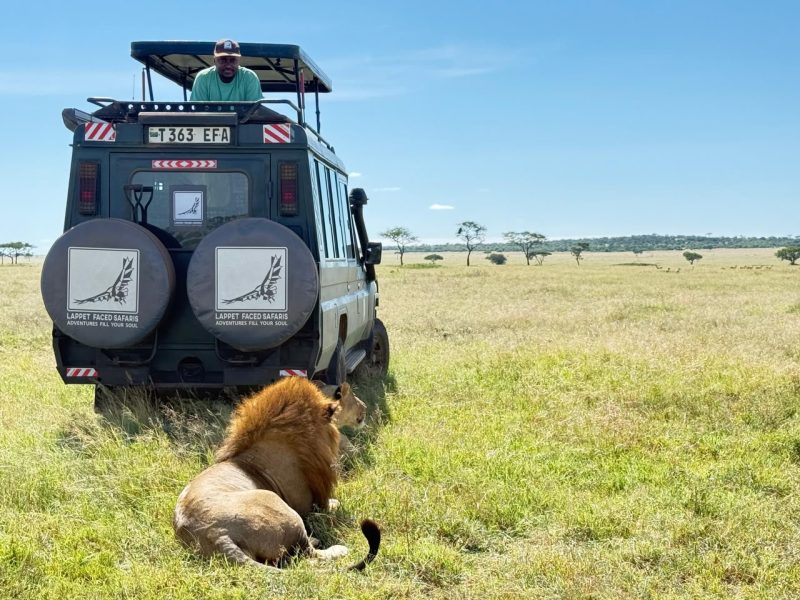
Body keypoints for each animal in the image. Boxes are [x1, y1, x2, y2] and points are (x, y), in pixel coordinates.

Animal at [173, 377, 380, 569]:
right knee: (308, 553)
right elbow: (334, 504)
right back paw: (336, 548)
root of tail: (215, 535)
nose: (365, 407)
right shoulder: (310, 505)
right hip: (283, 509)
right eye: (352, 395)